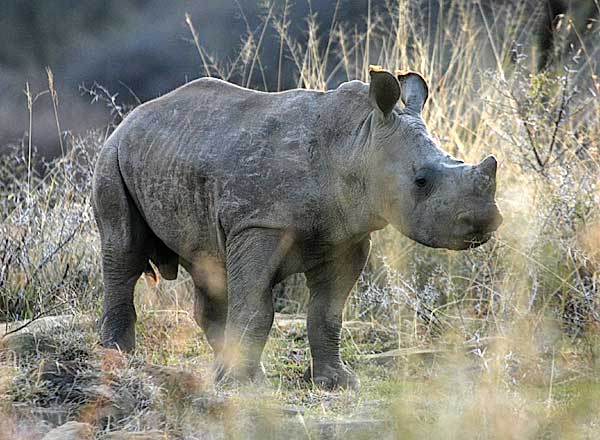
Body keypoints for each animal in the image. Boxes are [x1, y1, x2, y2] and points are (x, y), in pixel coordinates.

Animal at [90, 65, 502, 388]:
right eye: (420, 181)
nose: (487, 222)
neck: (357, 143)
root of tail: (133, 116)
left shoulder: (348, 237)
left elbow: (327, 314)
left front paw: (338, 383)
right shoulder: (259, 224)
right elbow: (257, 308)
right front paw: (239, 386)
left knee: (207, 263)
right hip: (112, 156)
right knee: (122, 250)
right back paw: (118, 356)